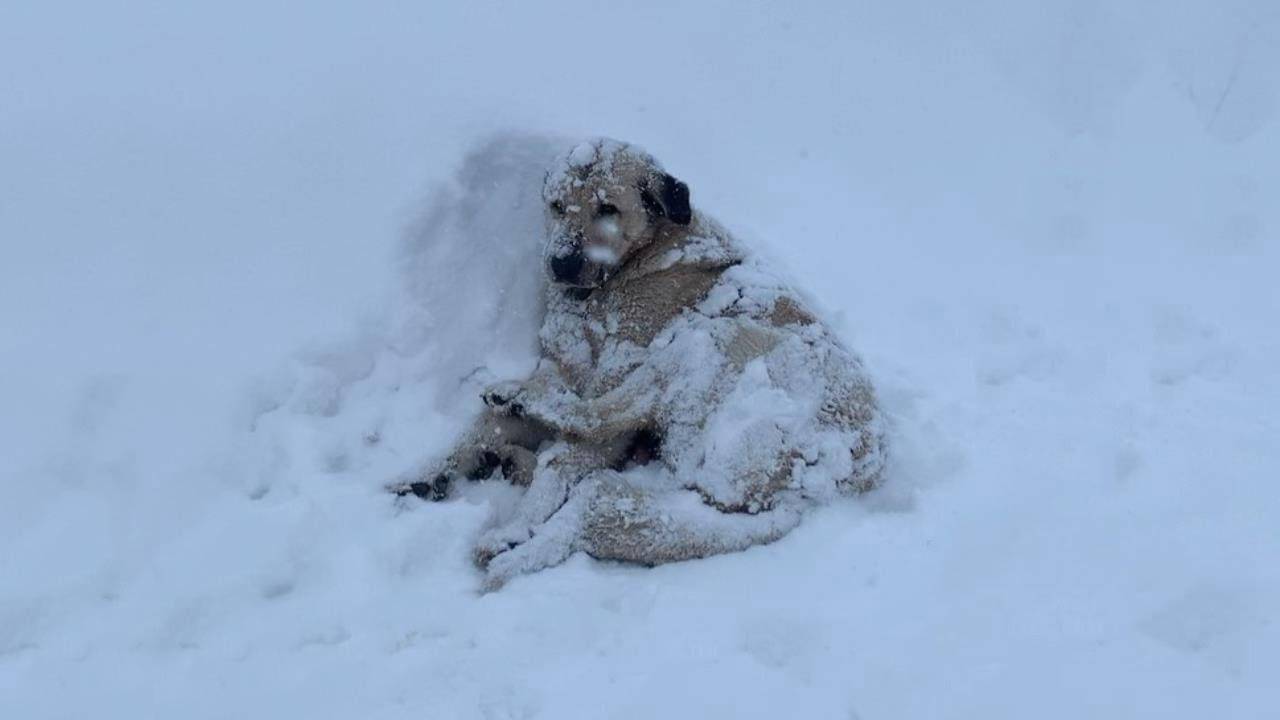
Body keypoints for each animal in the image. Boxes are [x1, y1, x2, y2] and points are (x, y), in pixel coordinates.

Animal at [394, 137, 885, 586]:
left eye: (608, 209)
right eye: (557, 205)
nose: (561, 264)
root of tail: (834, 472)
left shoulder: (611, 395)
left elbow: (564, 457)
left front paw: (515, 527)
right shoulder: (560, 368)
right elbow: (478, 431)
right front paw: (426, 473)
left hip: (701, 344)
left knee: (590, 433)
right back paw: (508, 458)